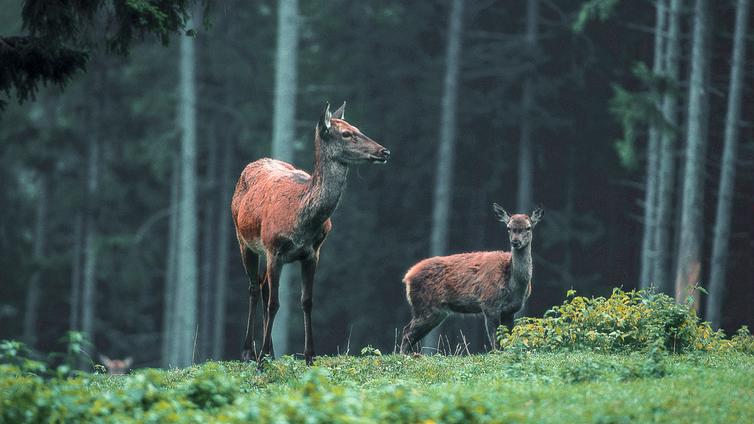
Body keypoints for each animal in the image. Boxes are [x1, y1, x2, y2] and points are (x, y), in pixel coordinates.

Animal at [231, 102, 390, 364]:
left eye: (357, 128)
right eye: (346, 134)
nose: (384, 151)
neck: (301, 218)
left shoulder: (312, 253)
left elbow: (307, 301)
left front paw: (310, 356)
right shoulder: (274, 249)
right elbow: (274, 304)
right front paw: (260, 360)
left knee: (263, 286)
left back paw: (270, 352)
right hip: (243, 239)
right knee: (254, 288)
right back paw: (249, 352)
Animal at [400, 204, 540, 352]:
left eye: (528, 227)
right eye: (508, 227)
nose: (515, 242)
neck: (513, 285)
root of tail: (408, 276)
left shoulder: (511, 310)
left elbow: (507, 340)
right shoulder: (489, 304)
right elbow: (495, 341)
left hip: (435, 312)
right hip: (425, 306)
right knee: (407, 331)